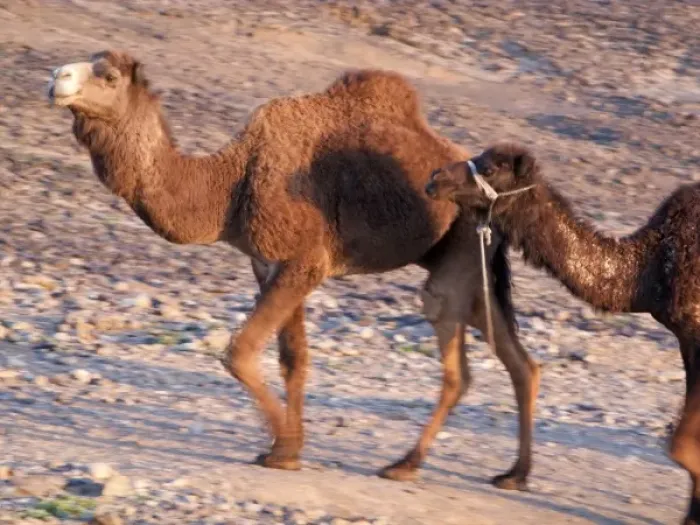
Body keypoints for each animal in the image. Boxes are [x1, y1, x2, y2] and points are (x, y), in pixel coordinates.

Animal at [46, 50, 540, 489]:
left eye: (108, 76)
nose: (56, 77)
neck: (232, 184)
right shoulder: (271, 264)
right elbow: (293, 359)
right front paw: (289, 448)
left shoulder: (304, 262)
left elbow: (240, 352)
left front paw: (281, 448)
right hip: (471, 259)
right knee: (520, 360)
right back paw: (515, 473)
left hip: (460, 245)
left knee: (457, 358)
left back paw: (407, 464)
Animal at [425, 142, 700, 524]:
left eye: (491, 169)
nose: (435, 179)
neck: (649, 266)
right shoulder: (686, 336)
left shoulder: (695, 328)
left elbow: (682, 445)